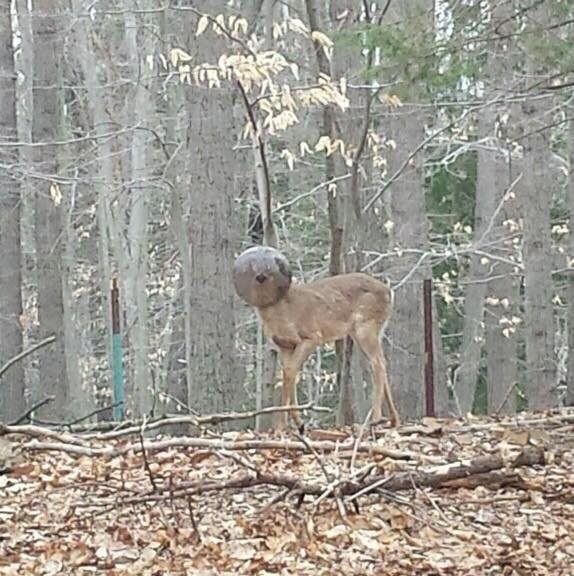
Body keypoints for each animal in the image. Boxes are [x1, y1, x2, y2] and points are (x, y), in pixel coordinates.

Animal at [233, 245, 400, 430]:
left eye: (272, 267)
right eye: (252, 267)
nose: (261, 276)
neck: (282, 313)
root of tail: (389, 292)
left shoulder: (311, 337)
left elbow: (290, 372)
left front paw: (282, 426)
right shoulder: (285, 346)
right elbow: (289, 372)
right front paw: (297, 422)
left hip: (365, 327)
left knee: (378, 363)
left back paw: (376, 419)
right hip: (369, 330)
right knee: (380, 362)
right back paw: (394, 420)